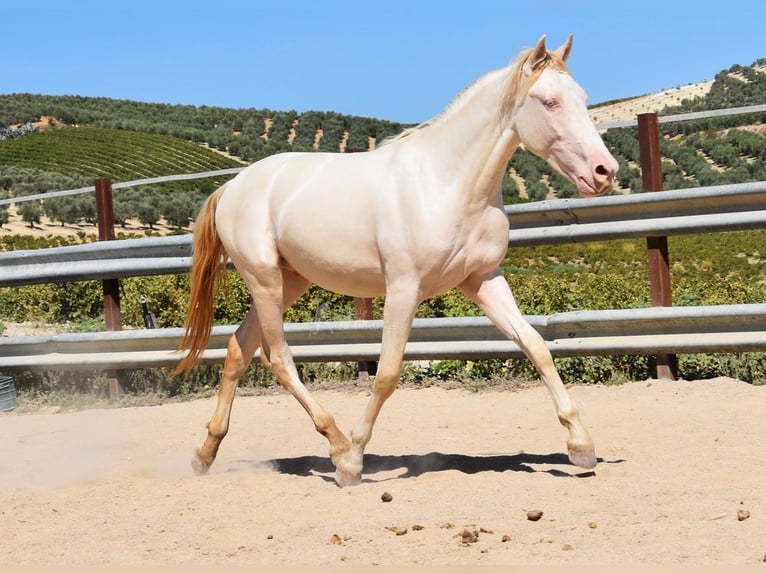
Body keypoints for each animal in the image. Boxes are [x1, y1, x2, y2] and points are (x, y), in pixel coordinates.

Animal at [172, 35, 616, 486]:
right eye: (549, 102)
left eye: (583, 98)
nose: (605, 172)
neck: (446, 183)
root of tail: (231, 187)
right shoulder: (404, 288)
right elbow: (386, 374)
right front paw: (353, 461)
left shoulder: (483, 280)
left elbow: (536, 346)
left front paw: (581, 446)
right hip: (263, 279)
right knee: (277, 358)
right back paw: (336, 447)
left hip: (290, 280)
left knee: (238, 349)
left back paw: (205, 453)